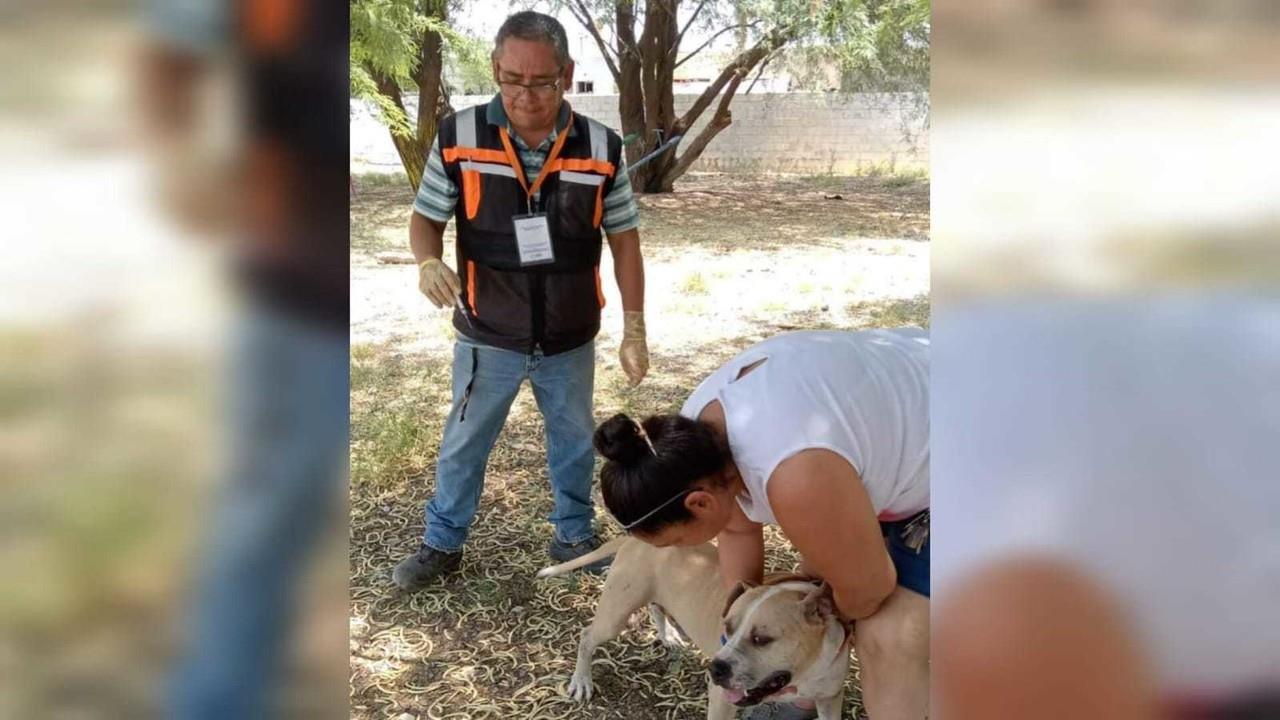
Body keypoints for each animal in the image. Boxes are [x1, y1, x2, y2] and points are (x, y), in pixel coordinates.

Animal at [535, 535, 855, 712]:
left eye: (762, 639)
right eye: (727, 628)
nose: (715, 668)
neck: (803, 673)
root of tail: (636, 539)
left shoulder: (830, 698)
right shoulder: (722, 700)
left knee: (656, 607)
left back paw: (668, 635)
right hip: (615, 614)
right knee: (587, 635)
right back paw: (581, 681)